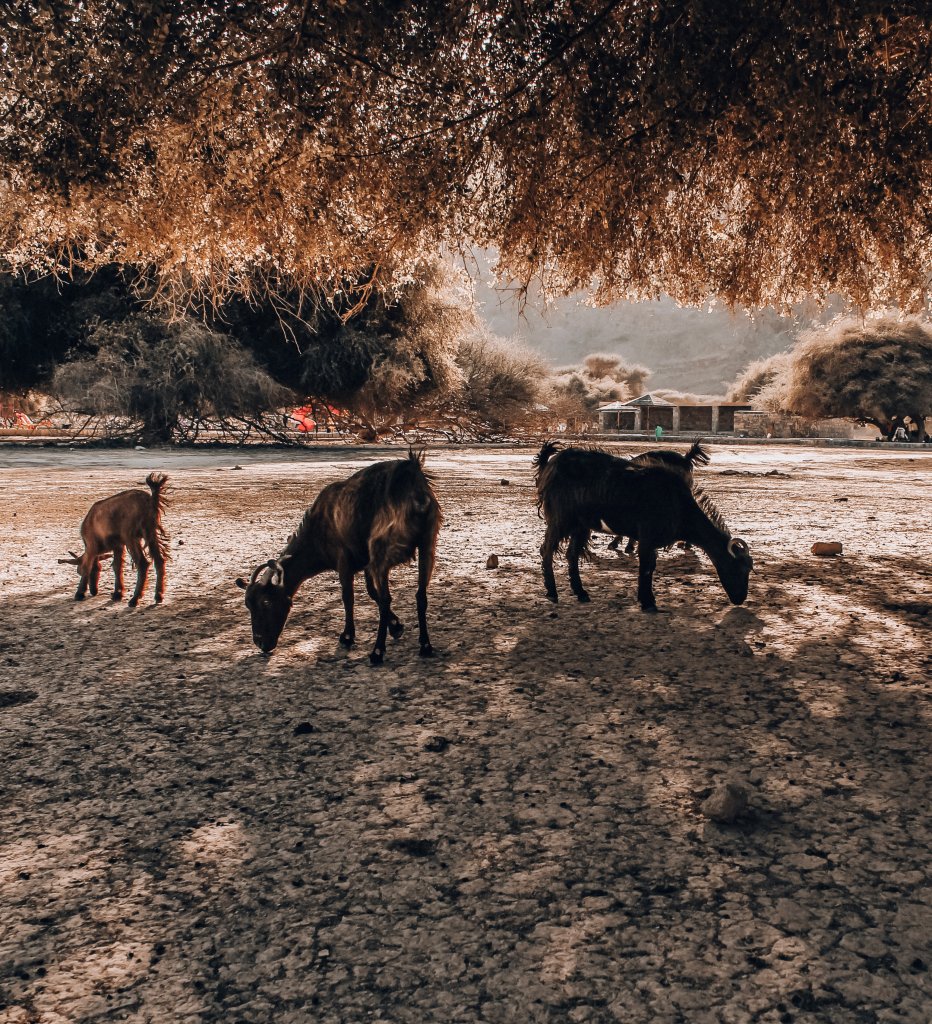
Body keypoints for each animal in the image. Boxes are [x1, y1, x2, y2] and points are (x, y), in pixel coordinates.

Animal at [59, 473, 170, 606]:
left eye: (78, 571)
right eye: (99, 569)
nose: (94, 591)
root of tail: (151, 500)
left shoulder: (92, 545)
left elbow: (87, 566)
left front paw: (80, 593)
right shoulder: (118, 545)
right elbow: (117, 566)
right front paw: (118, 593)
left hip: (131, 536)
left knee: (143, 563)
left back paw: (135, 599)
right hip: (151, 532)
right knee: (159, 560)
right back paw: (159, 596)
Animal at [240, 450, 444, 663]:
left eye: (266, 602)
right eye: (248, 605)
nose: (261, 643)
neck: (318, 526)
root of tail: (413, 484)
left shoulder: (344, 560)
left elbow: (348, 596)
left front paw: (347, 636)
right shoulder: (365, 562)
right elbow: (371, 592)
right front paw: (396, 626)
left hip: (382, 552)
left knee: (386, 599)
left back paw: (377, 652)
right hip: (427, 544)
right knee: (420, 595)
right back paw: (425, 646)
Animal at [532, 442, 749, 614]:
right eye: (738, 567)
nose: (740, 599)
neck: (676, 502)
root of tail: (550, 463)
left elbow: (649, 566)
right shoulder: (647, 537)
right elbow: (646, 568)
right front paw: (648, 603)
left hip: (581, 525)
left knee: (572, 555)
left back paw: (581, 593)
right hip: (561, 519)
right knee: (547, 549)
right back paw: (552, 592)